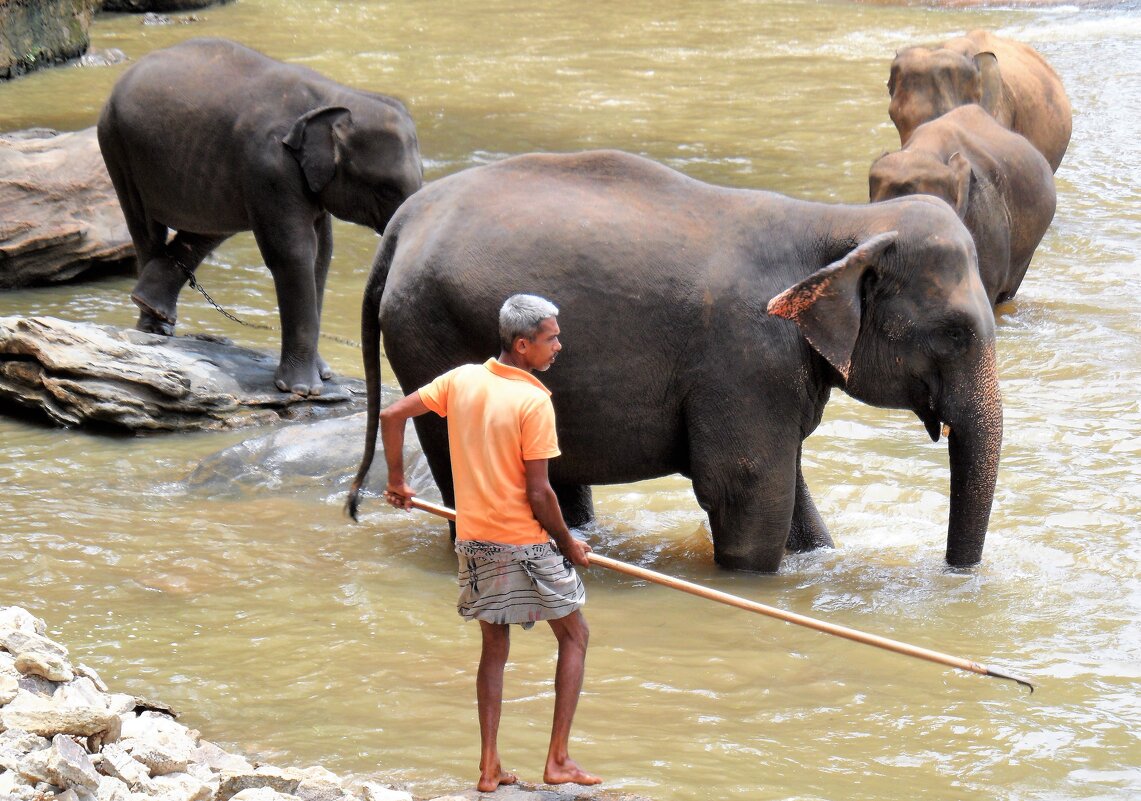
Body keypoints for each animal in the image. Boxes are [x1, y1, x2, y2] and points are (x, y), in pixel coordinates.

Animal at [98, 37, 424, 394]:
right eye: (387, 189)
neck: (336, 97)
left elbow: (321, 255)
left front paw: (323, 375)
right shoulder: (271, 165)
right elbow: (294, 253)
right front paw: (301, 390)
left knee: (211, 226)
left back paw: (152, 308)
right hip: (117, 143)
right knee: (145, 227)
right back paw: (153, 327)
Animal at [344, 151, 999, 577]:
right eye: (957, 333)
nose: (953, 576)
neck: (840, 222)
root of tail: (400, 226)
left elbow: (790, 492)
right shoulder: (745, 357)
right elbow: (747, 487)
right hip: (431, 336)